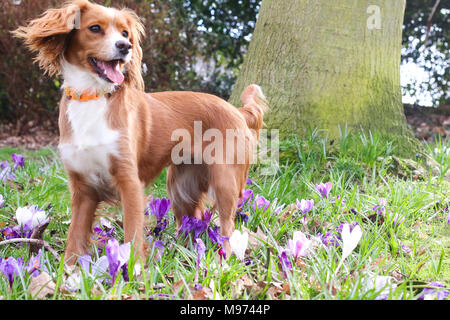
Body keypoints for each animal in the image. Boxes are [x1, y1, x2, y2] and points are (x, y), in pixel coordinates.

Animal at [13, 0, 268, 264]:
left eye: (125, 33)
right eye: (95, 28)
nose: (125, 47)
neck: (93, 96)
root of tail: (236, 110)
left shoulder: (129, 182)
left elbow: (133, 234)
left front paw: (133, 268)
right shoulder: (82, 188)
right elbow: (75, 238)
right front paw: (70, 271)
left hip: (224, 180)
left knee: (228, 226)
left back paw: (222, 261)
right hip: (181, 187)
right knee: (194, 220)